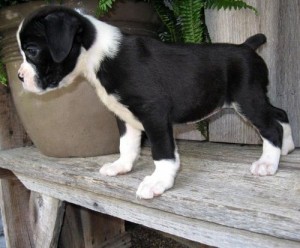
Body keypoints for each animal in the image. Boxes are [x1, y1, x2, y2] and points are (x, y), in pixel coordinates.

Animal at [17, 6, 296, 199]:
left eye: (32, 51)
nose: (19, 77)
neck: (99, 55)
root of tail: (245, 46)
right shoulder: (125, 116)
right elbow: (127, 145)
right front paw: (122, 166)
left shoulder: (153, 113)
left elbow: (162, 152)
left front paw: (158, 182)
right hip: (255, 97)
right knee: (280, 113)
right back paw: (286, 148)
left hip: (247, 100)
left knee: (270, 126)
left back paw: (267, 163)